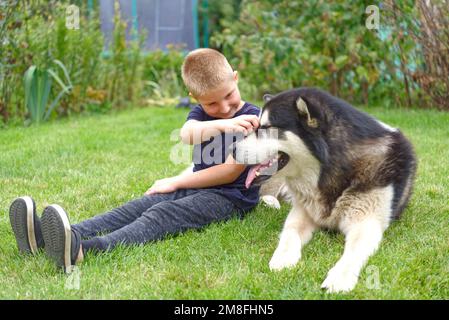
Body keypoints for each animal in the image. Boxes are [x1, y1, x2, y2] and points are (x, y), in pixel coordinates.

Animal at [233, 87, 414, 292]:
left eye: (266, 128)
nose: (231, 149)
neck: (328, 170)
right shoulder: (303, 212)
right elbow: (289, 233)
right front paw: (283, 258)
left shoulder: (367, 222)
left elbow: (354, 251)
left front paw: (340, 277)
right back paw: (270, 201)